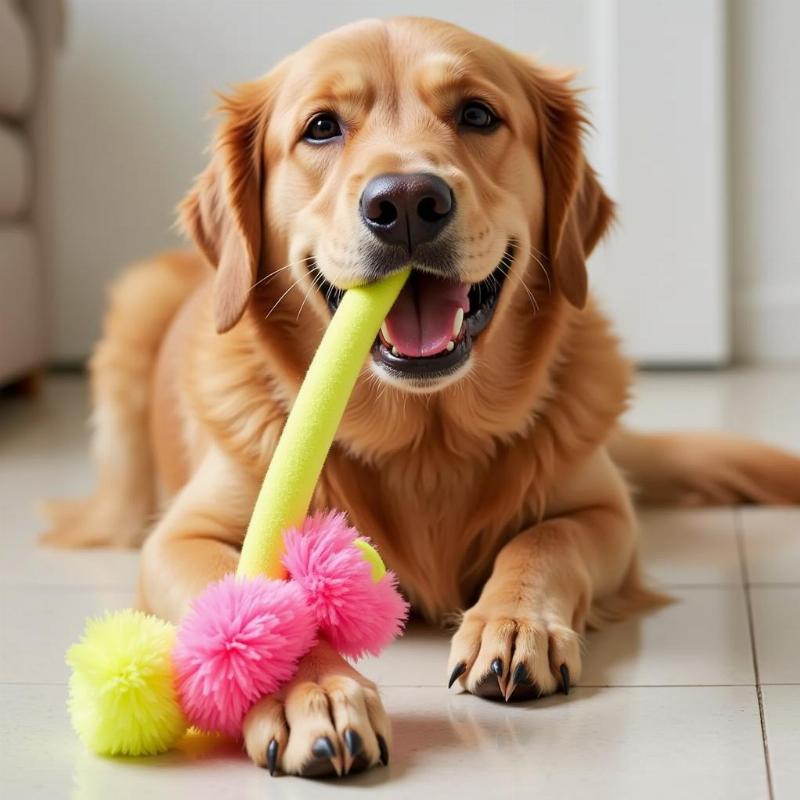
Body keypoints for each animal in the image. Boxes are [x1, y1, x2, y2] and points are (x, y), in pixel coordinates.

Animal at [40, 15, 800, 780]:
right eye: (321, 127)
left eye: (477, 114)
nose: (405, 201)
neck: (424, 441)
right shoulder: (181, 536)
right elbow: (247, 600)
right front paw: (310, 690)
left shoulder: (603, 511)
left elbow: (543, 541)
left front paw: (512, 624)